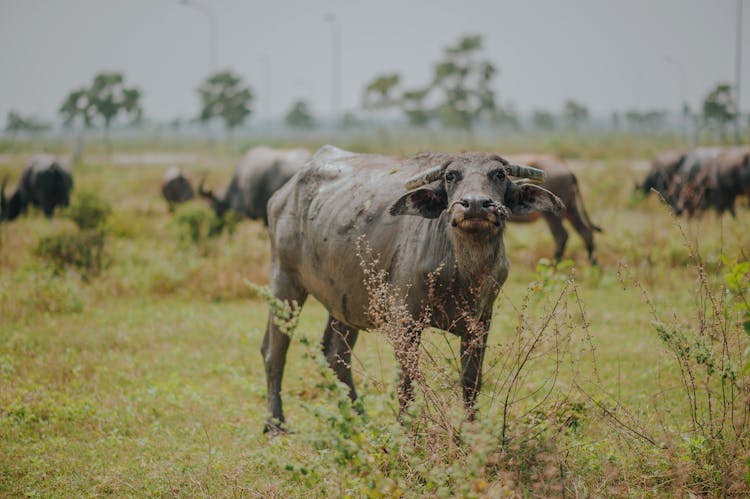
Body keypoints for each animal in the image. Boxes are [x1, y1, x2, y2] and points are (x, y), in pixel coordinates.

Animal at [262, 145, 564, 434]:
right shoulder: (404, 320)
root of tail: (282, 195)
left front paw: (472, 429)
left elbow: (470, 380)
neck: (461, 271)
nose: (476, 205)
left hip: (346, 300)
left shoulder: (480, 322)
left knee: (336, 354)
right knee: (274, 351)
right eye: (451, 176)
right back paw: (275, 424)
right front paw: (406, 429)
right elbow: (407, 381)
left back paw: (360, 419)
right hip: (285, 283)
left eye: (499, 174)